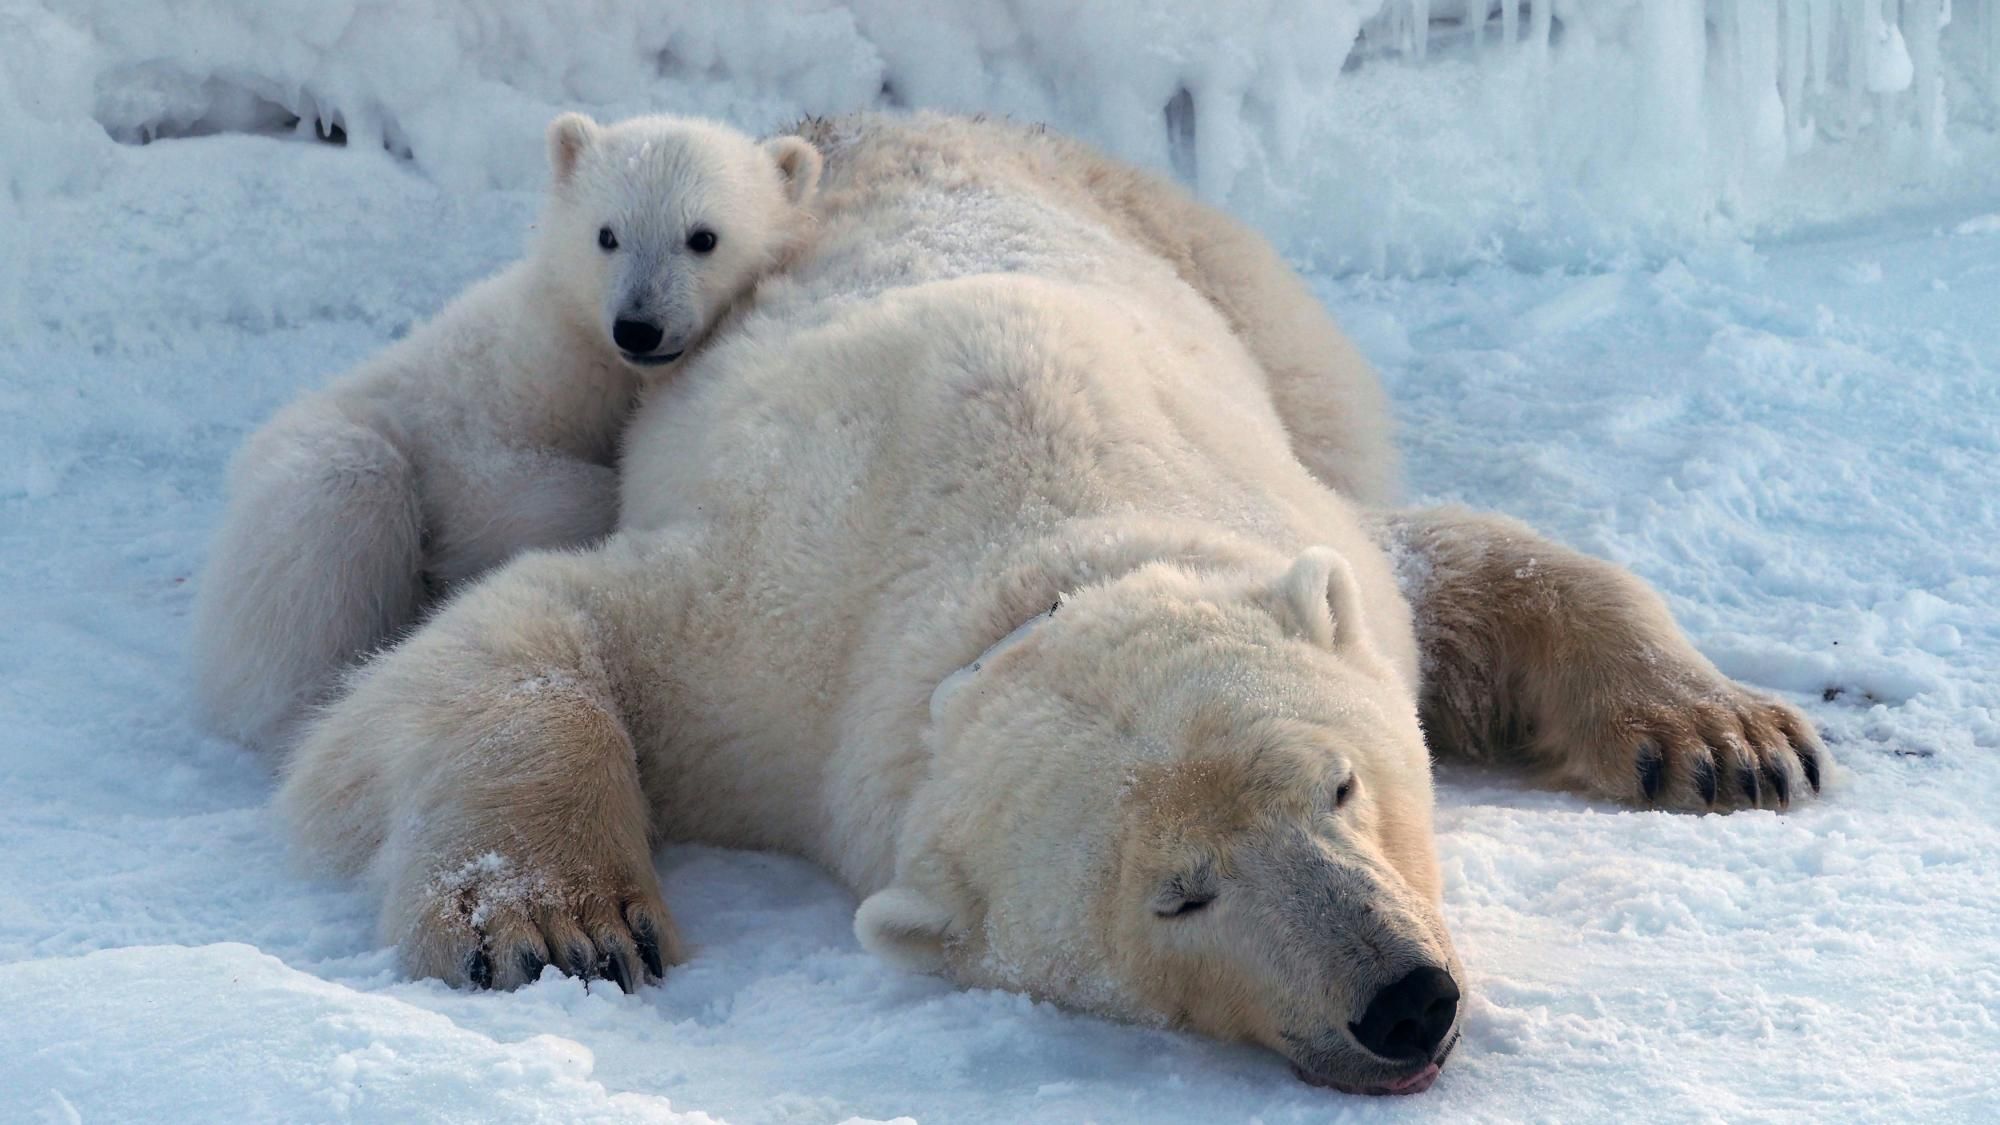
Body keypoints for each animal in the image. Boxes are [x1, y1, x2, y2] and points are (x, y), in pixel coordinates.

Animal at [190, 112, 823, 751]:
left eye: (703, 237)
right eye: (607, 234)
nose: (638, 327)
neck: (589, 355)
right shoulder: (498, 394)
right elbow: (495, 489)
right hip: (321, 457)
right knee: (335, 514)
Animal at [275, 112, 1826, 1096]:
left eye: (1339, 785)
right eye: (1178, 895)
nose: (1403, 1002)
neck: (1038, 541)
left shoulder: (1280, 513)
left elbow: (1460, 566)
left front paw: (1727, 741)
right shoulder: (773, 646)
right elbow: (526, 635)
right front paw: (560, 925)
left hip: (1226, 273)